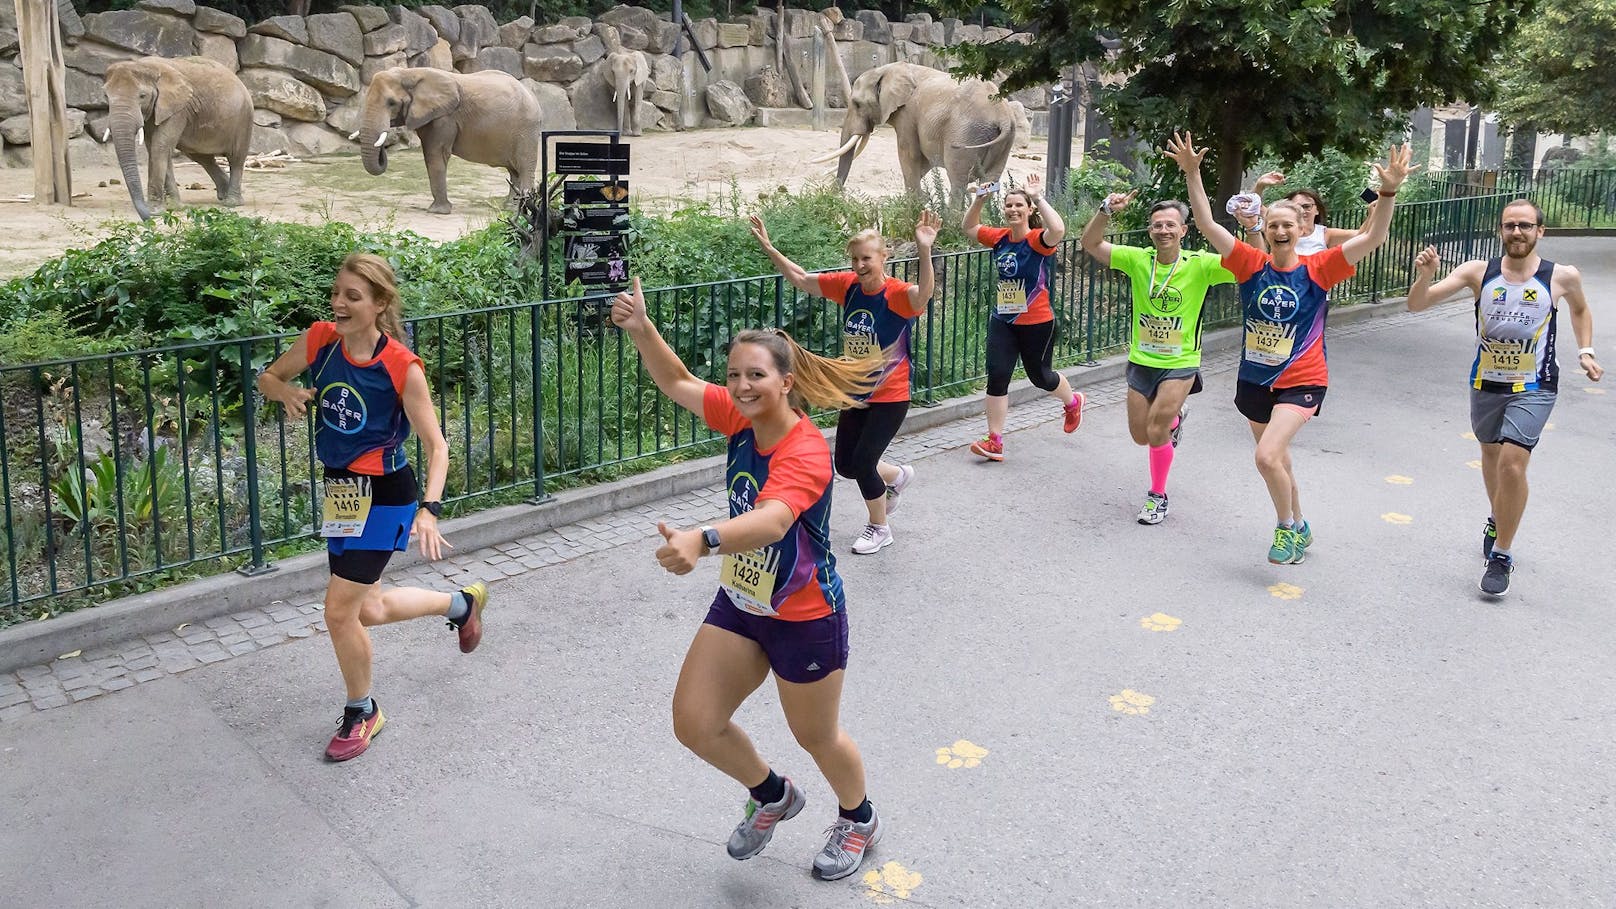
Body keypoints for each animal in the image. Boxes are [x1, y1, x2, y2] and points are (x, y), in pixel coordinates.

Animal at [102, 56, 252, 221]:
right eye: (106, 96)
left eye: (142, 96)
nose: (146, 217)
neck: (145, 65)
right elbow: (156, 148)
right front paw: (174, 206)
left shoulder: (178, 110)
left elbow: (160, 147)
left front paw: (155, 211)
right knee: (203, 158)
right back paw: (223, 194)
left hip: (243, 119)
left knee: (236, 158)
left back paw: (231, 202)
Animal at [357, 66, 539, 215]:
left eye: (391, 103)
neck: (409, 73)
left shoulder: (444, 118)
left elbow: (435, 155)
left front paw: (437, 212)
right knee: (513, 171)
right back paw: (509, 207)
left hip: (527, 129)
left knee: (524, 167)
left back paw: (523, 209)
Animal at [814, 61, 1014, 201]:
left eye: (856, 104)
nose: (830, 192)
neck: (886, 69)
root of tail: (1002, 116)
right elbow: (923, 162)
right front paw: (920, 200)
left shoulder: (907, 114)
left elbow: (909, 154)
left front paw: (914, 204)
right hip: (1004, 142)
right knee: (990, 180)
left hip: (966, 133)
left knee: (958, 179)